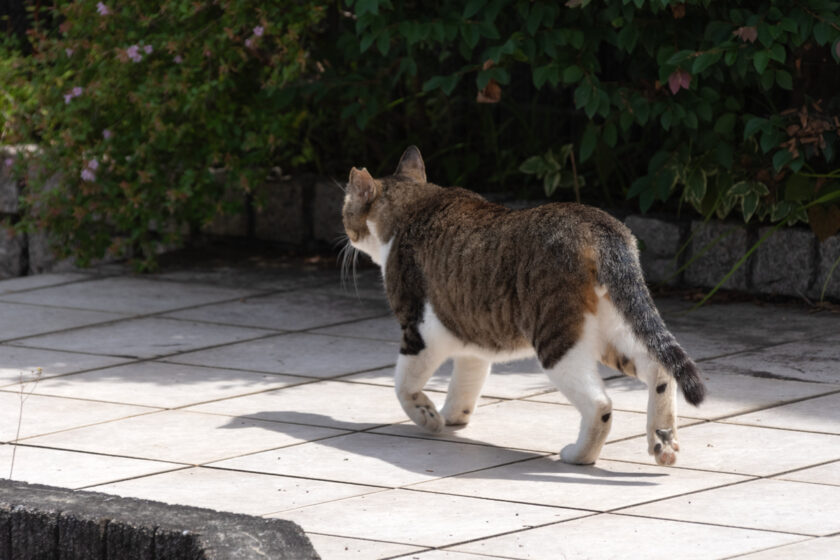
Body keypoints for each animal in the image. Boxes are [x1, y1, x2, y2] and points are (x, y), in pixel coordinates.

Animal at [342, 144, 704, 464]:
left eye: (346, 209)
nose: (346, 237)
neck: (414, 204)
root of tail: (600, 226)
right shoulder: (470, 332)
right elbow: (466, 381)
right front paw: (453, 416)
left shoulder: (420, 329)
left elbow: (404, 384)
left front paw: (427, 416)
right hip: (613, 326)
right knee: (659, 367)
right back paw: (663, 442)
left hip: (555, 337)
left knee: (600, 405)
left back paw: (579, 456)